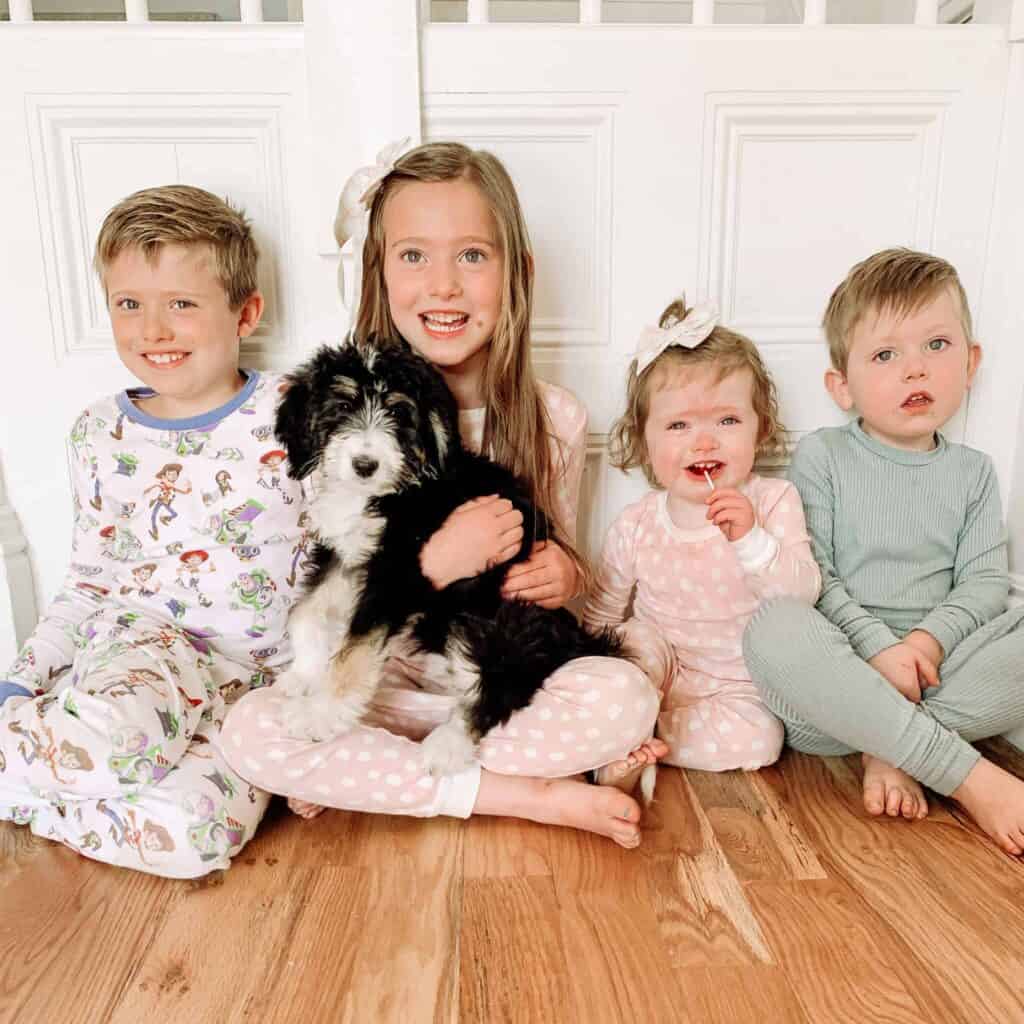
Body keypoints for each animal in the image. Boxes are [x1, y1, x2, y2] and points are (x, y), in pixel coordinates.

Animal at [274, 335, 622, 774]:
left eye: (398, 412)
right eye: (341, 408)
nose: (365, 465)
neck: (385, 492)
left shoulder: (399, 569)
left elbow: (356, 646)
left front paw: (320, 713)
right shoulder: (345, 554)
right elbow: (304, 611)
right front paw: (302, 674)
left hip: (495, 619)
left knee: (499, 686)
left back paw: (448, 745)